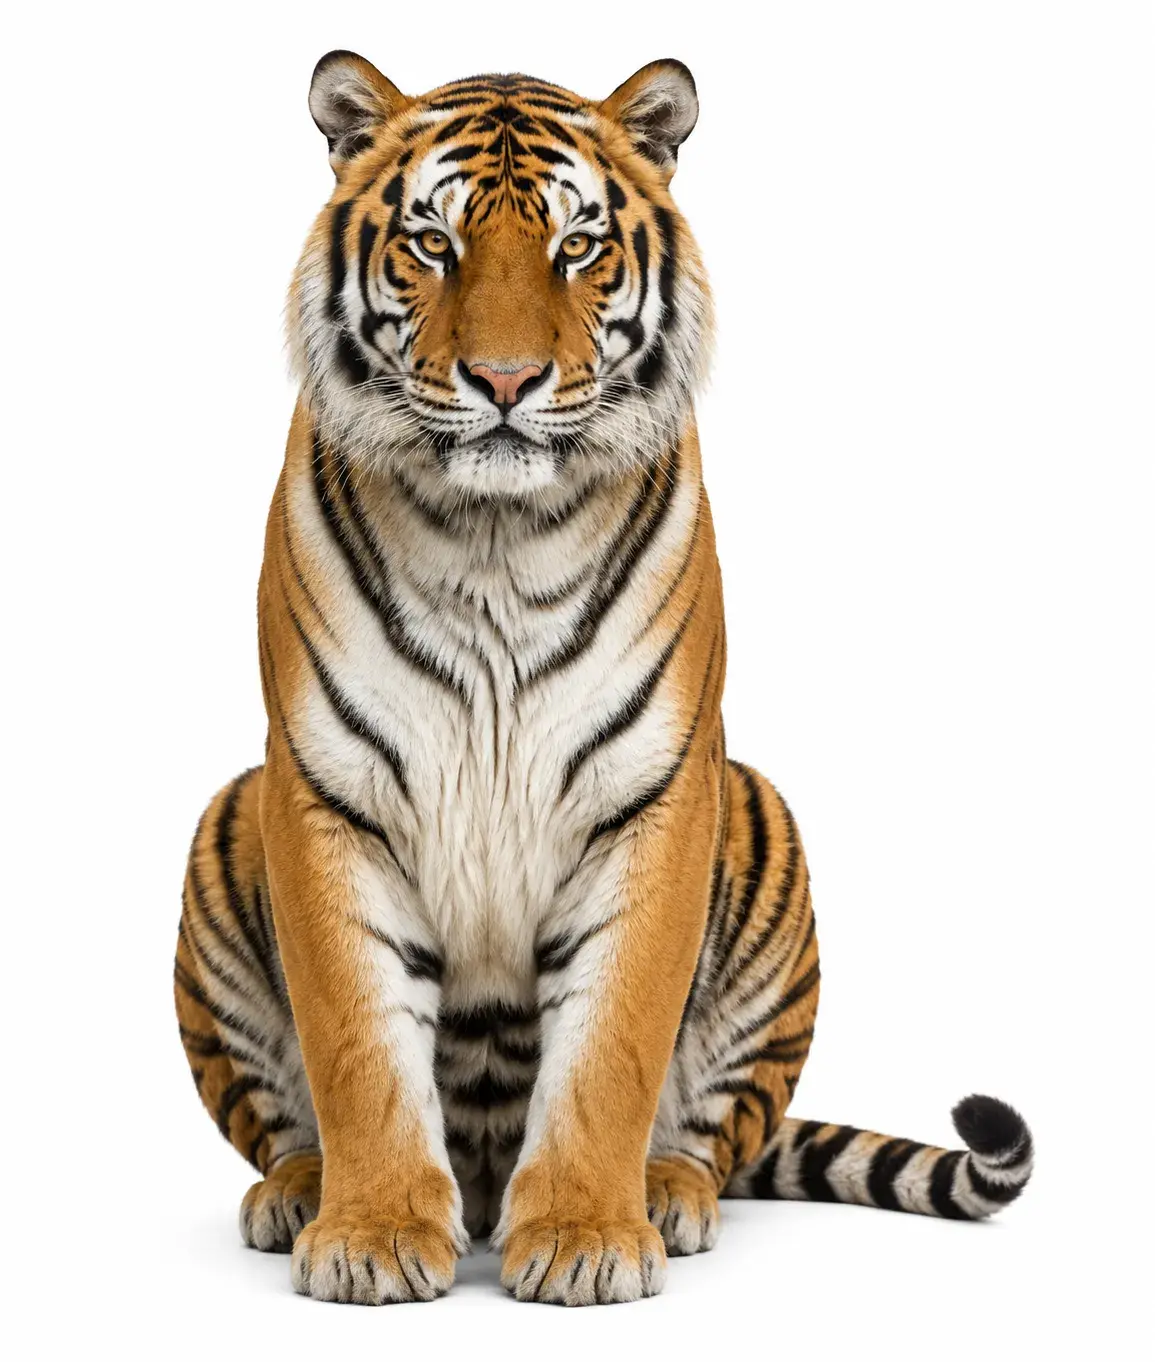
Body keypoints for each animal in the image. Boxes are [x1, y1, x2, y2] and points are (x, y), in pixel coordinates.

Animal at [175, 52, 1034, 1307]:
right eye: (432, 243)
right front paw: (373, 1233)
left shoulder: (655, 793)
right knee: (283, 1120)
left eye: (577, 246)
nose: (505, 379)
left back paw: (668, 1193)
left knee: (714, 1130)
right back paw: (298, 1190)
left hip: (760, 816)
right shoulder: (321, 789)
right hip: (227, 818)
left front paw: (585, 1236)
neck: (490, 535)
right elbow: (355, 1038)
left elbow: (613, 1045)